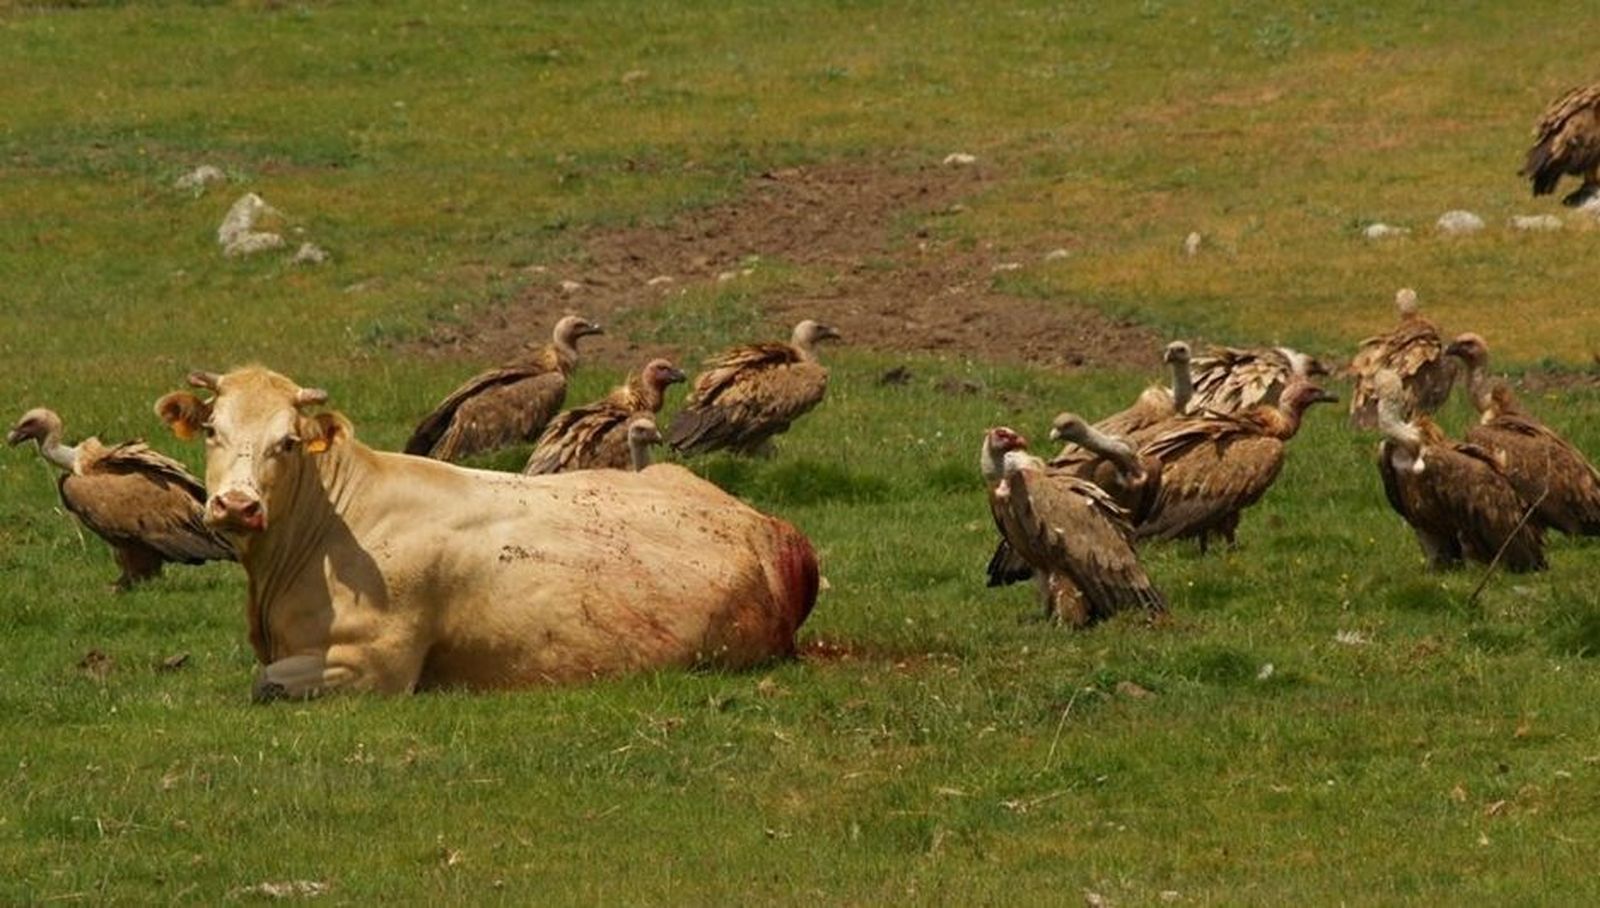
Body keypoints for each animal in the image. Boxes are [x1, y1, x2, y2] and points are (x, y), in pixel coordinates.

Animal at [154, 366, 819, 700]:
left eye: (288, 442)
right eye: (211, 430)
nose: (237, 505)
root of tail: (769, 528)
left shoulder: (374, 667)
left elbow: (263, 683)